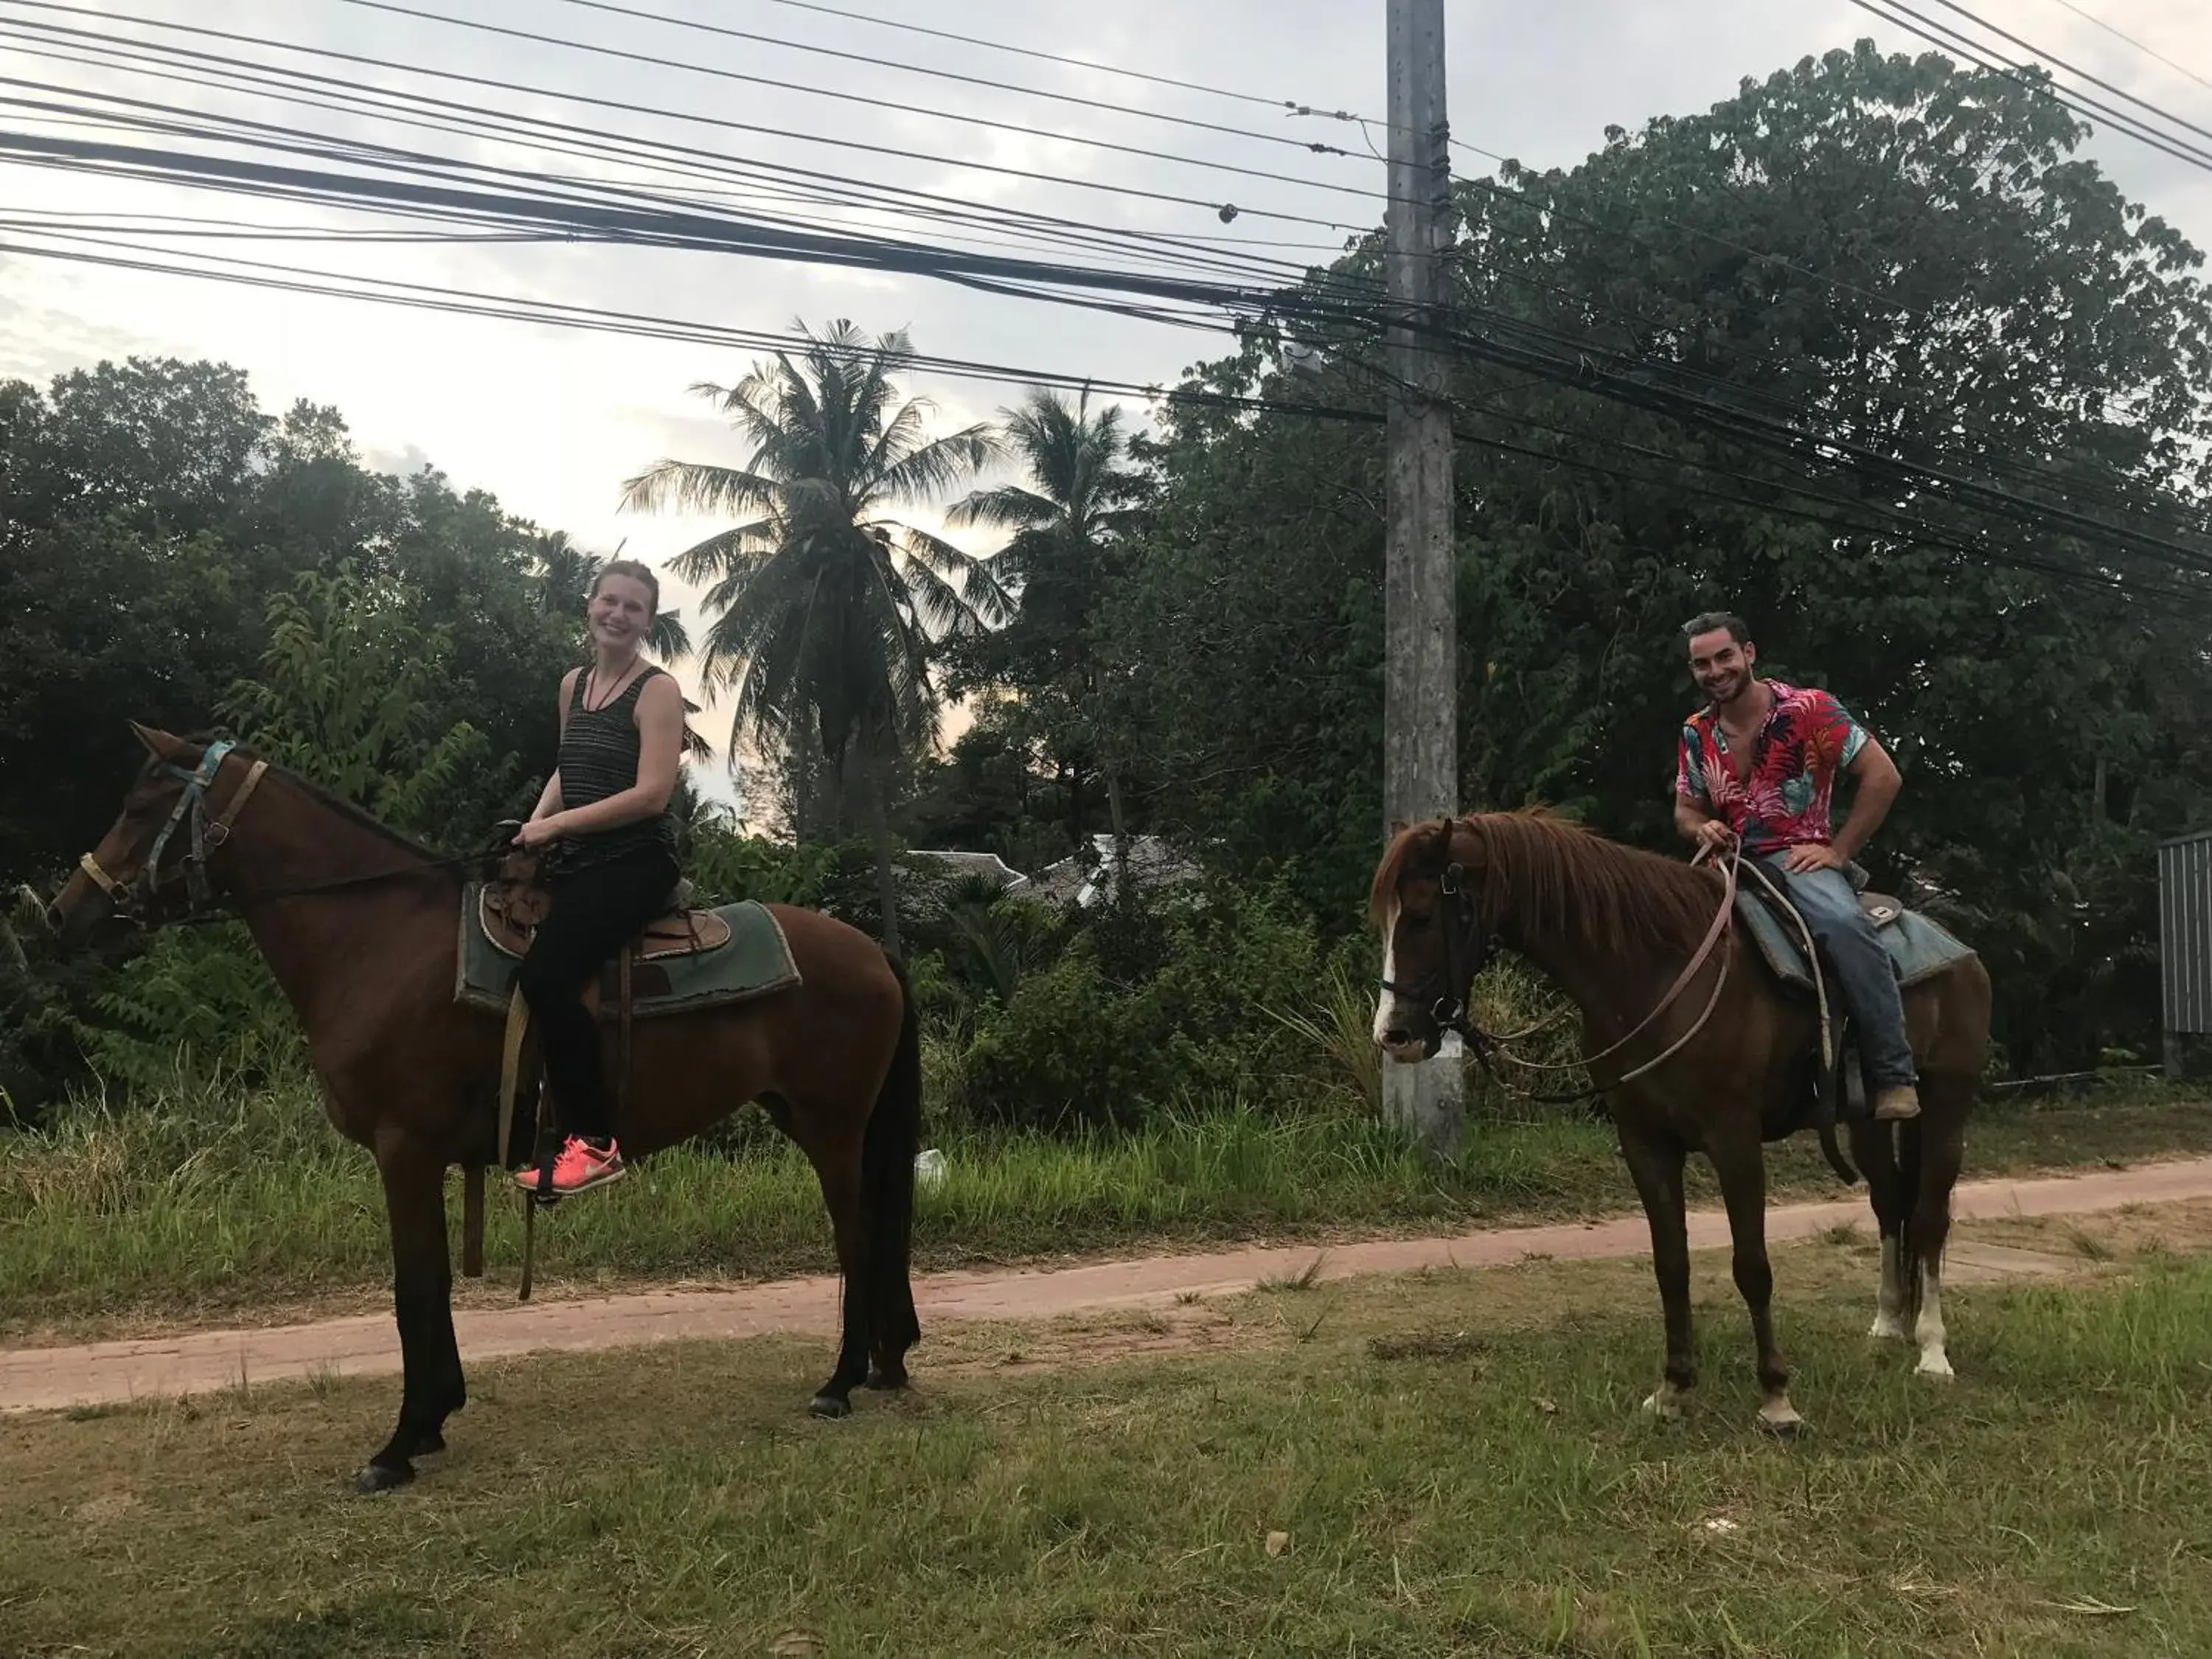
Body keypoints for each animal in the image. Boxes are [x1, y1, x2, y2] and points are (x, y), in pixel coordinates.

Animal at [45, 726, 925, 1495]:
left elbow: (414, 1288)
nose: (61, 912)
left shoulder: (403, 1149)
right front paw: (435, 1418)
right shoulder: (422, 1155)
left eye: (138, 805)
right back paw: (883, 1366)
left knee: (856, 1240)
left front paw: (399, 1446)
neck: (379, 940)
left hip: (833, 1129)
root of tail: (872, 949)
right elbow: (432, 1282)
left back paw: (841, 1382)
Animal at [1371, 814, 2000, 1433]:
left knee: (1929, 1218)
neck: (1656, 974)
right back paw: (1888, 1325)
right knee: (1889, 1203)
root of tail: (1961, 951)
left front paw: (1776, 1397)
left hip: (1946, 1108)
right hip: (1867, 1122)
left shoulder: (1734, 1140)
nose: (1393, 1035)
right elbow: (1671, 1265)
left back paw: (1932, 1351)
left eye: (1422, 916)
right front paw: (1674, 1389)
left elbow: (1752, 1265)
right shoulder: (1645, 1142)